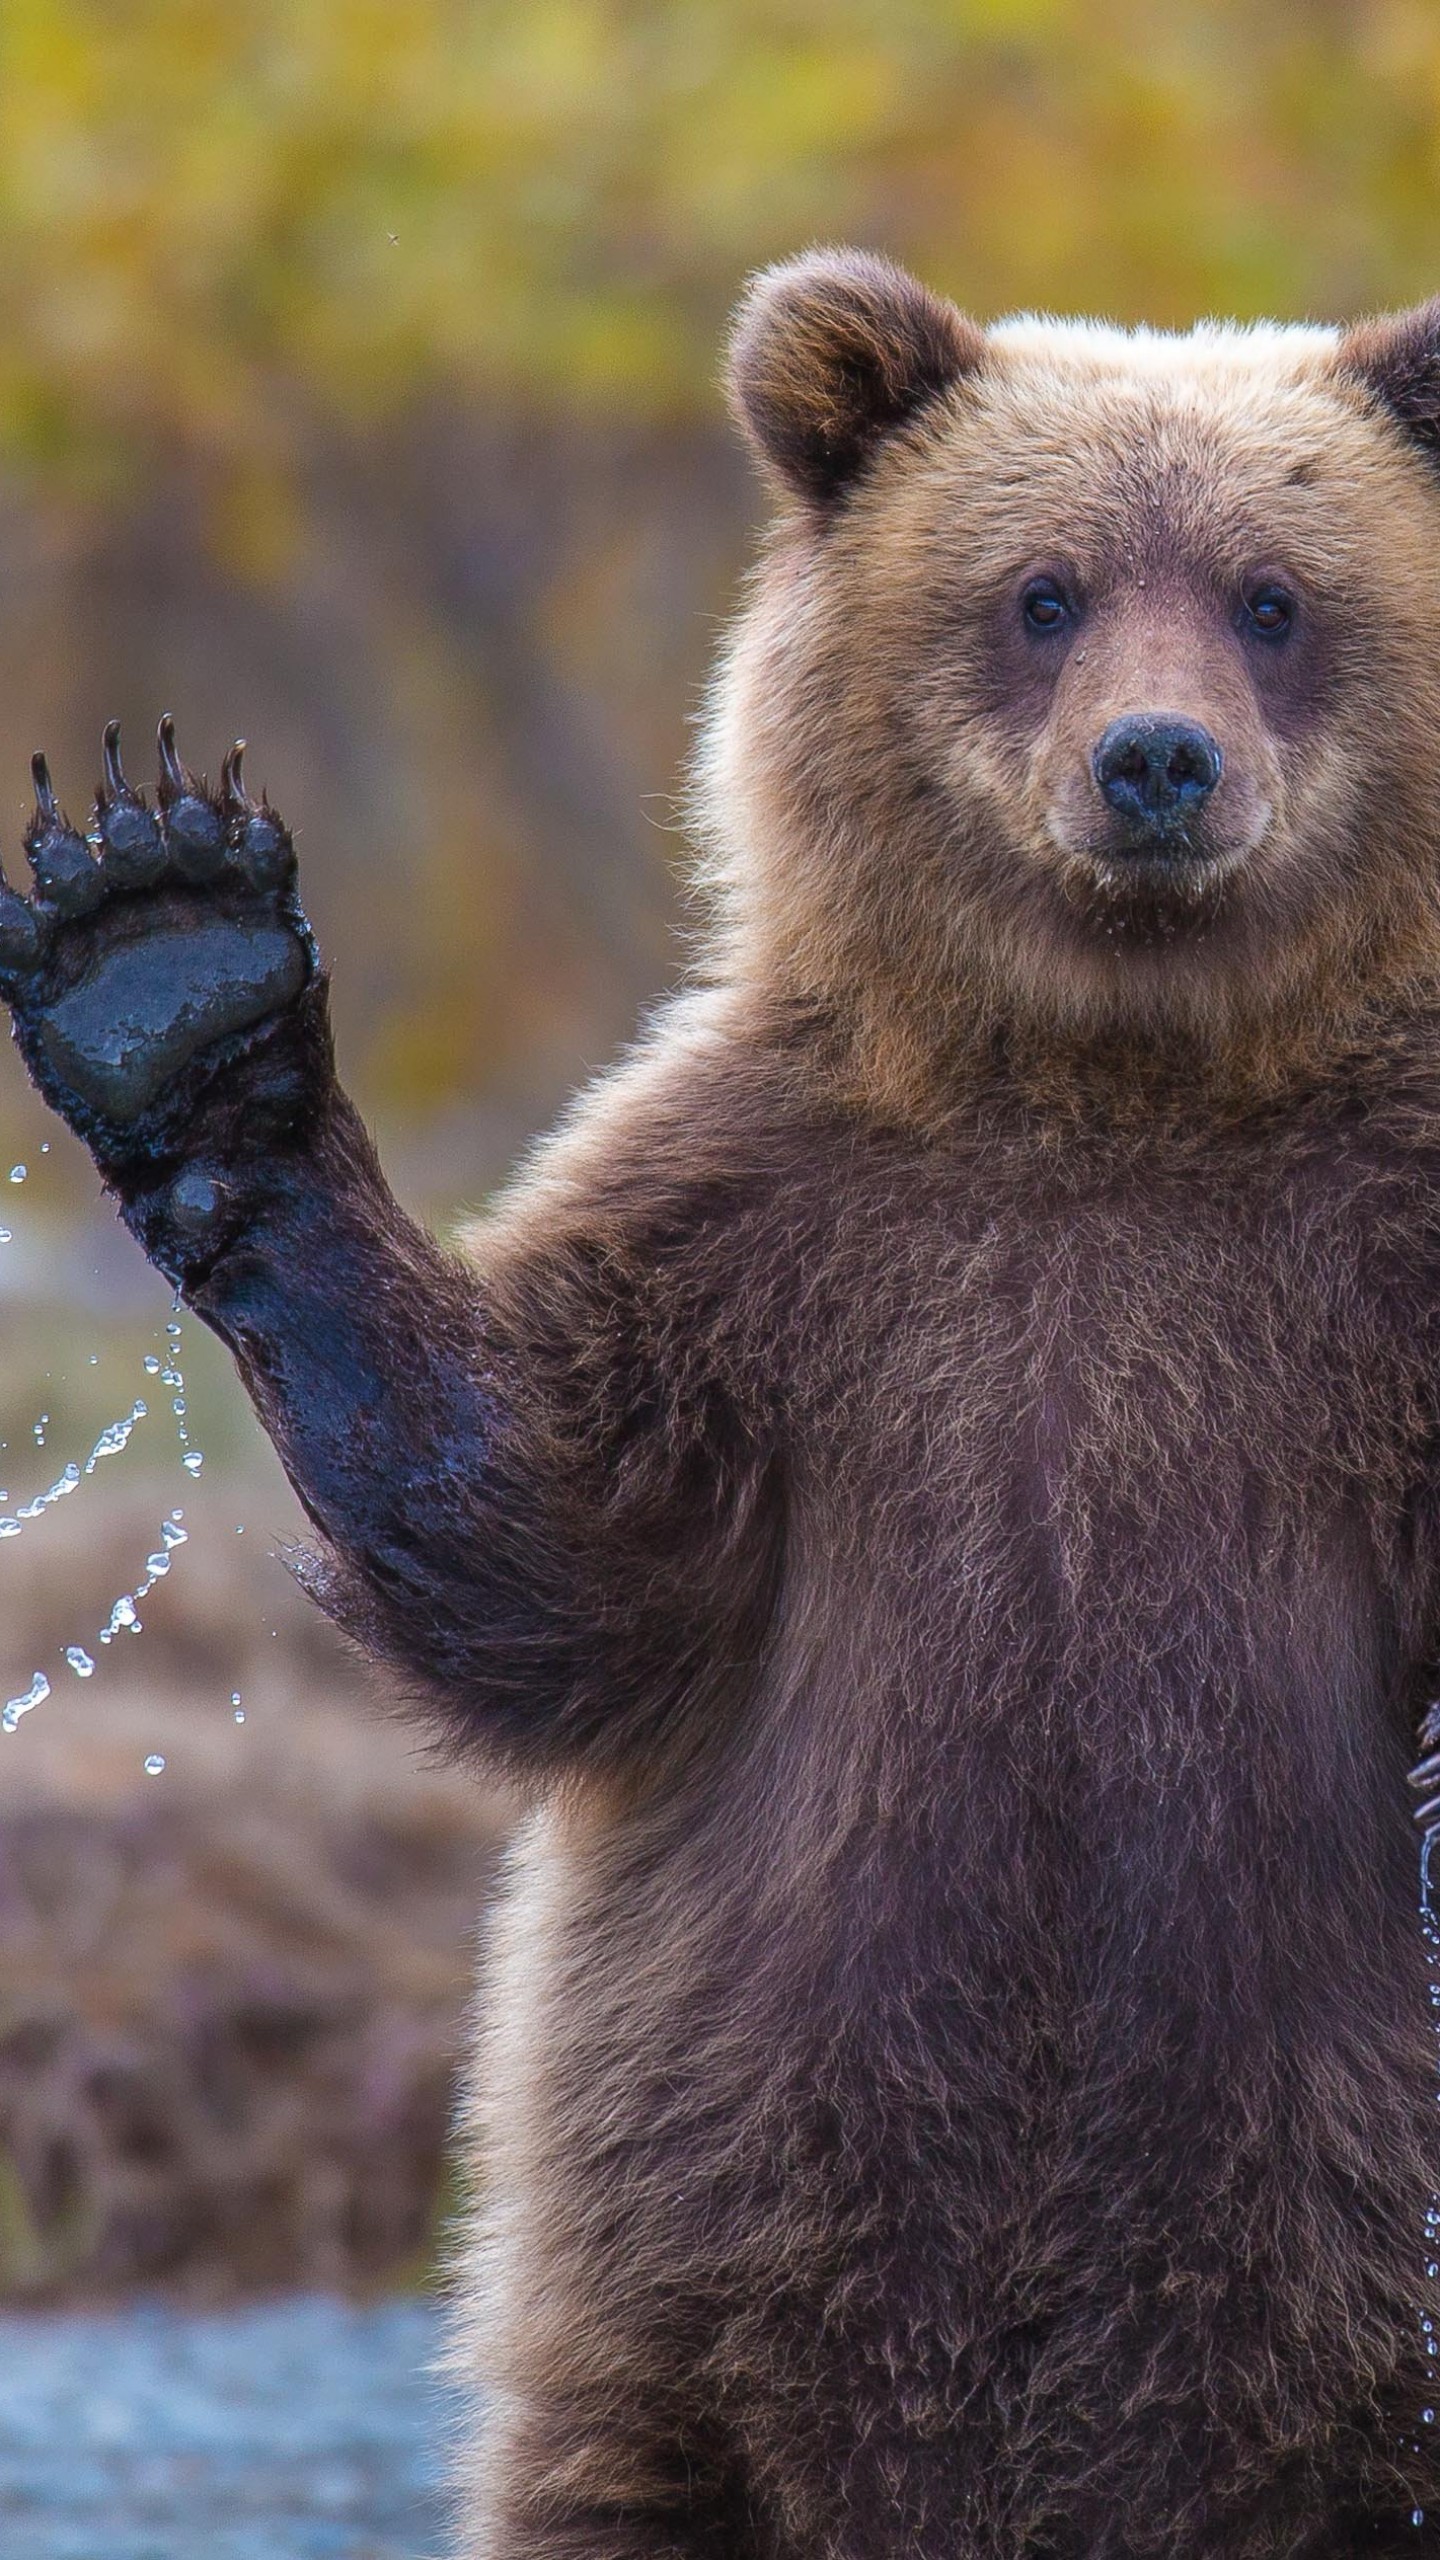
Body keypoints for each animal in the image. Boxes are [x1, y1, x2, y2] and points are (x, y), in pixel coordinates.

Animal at [8, 249, 1434, 2549]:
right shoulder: (772, 1250)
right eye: (1043, 589)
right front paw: (167, 954)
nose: (1156, 763)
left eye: (1274, 592)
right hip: (681, 2322)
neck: (1120, 1076)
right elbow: (552, 1552)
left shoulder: (1360, 1262)